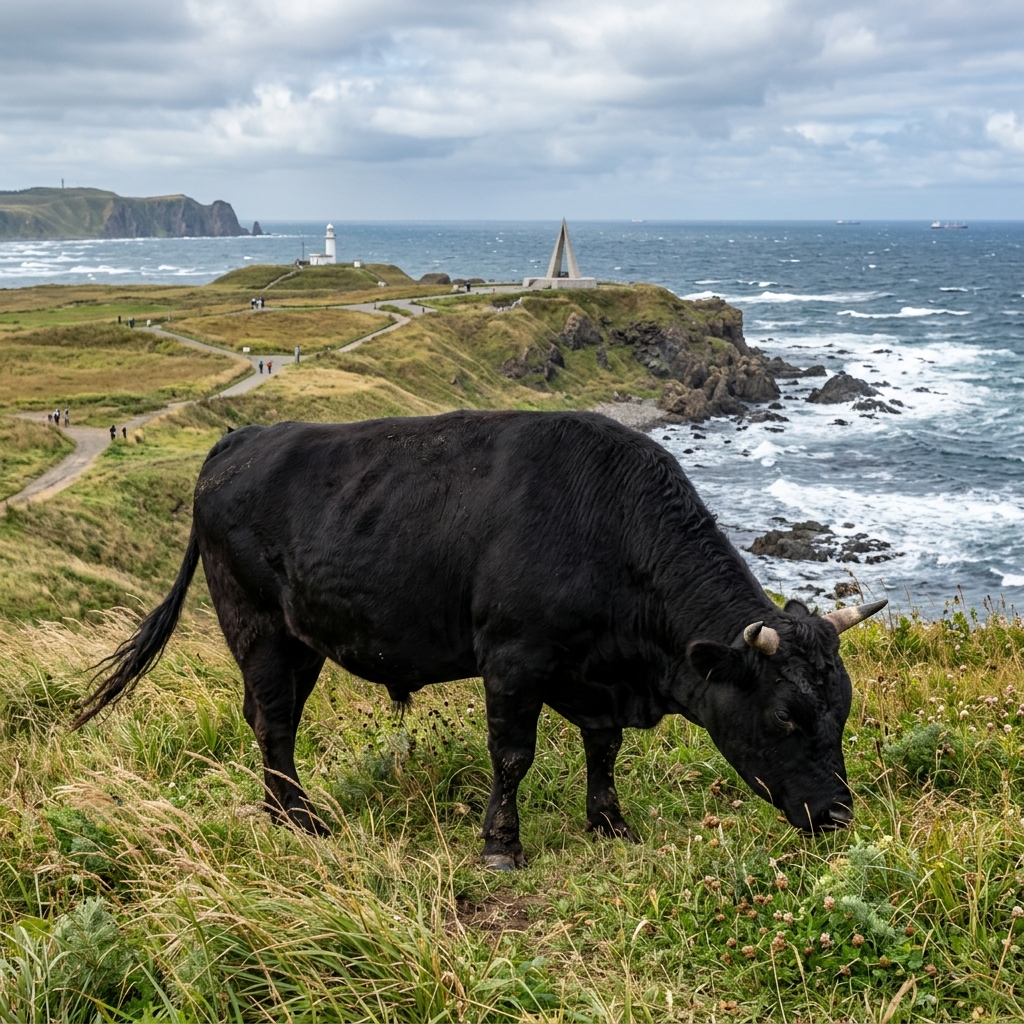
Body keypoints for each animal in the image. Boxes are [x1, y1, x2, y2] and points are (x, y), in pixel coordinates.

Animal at [74, 411, 886, 870]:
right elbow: (513, 755)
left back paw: (283, 813)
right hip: (257, 623)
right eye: (785, 717)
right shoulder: (514, 659)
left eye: (842, 712)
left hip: (300, 637)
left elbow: (603, 747)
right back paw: (301, 822)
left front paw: (609, 824)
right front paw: (501, 846)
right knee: (272, 718)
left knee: (273, 719)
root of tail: (237, 441)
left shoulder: (593, 675)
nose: (837, 815)